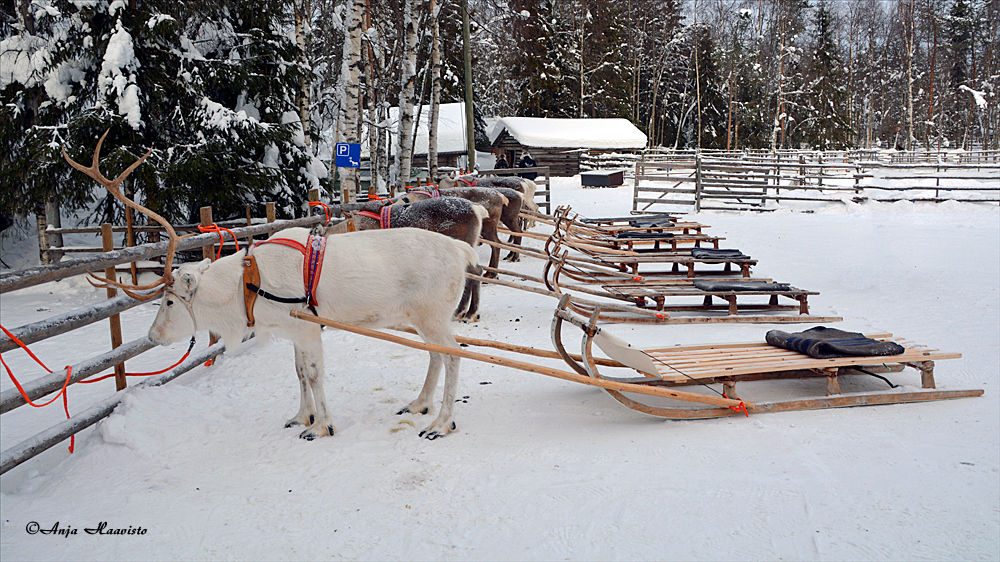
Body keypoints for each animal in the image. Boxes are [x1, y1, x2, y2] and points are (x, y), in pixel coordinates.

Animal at [63, 131, 477, 440]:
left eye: (168, 302)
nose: (153, 336)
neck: (246, 289)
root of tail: (462, 250)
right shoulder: (292, 330)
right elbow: (299, 372)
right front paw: (302, 416)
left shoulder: (307, 328)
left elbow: (315, 374)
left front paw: (322, 426)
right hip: (419, 317)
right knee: (436, 353)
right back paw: (419, 403)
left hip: (432, 314)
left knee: (454, 353)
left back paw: (441, 423)